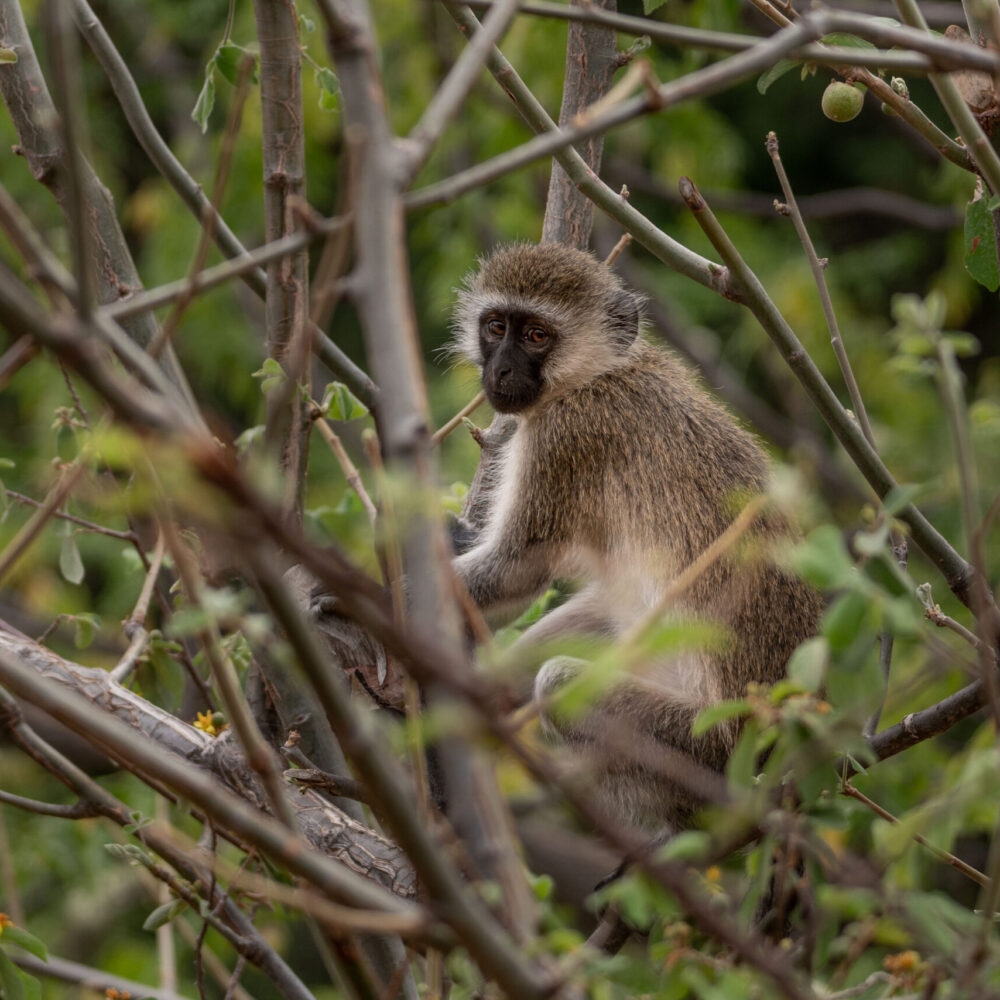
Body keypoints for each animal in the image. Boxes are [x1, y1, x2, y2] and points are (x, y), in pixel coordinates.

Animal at [448, 242, 823, 834]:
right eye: (496, 326)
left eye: (537, 335)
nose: (500, 369)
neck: (598, 374)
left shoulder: (566, 438)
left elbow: (518, 570)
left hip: (702, 745)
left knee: (558, 683)